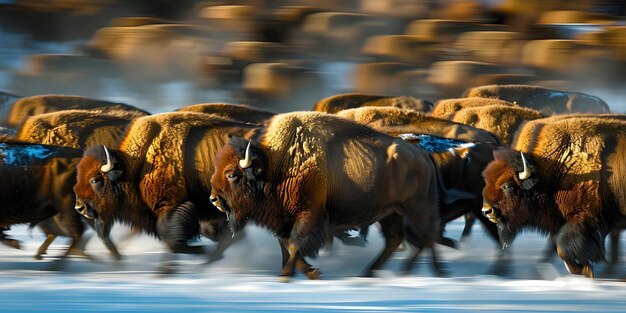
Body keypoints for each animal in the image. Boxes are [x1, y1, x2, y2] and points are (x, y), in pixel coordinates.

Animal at [72, 111, 258, 270]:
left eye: (95, 180)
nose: (79, 207)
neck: (137, 164)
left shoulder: (169, 205)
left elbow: (169, 237)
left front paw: (174, 266)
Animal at [210, 112, 444, 280]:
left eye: (231, 174)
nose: (213, 199)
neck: (276, 165)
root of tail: (422, 155)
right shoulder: (284, 220)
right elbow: (287, 244)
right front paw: (302, 271)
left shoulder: (308, 214)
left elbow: (294, 244)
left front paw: (292, 275)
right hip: (391, 212)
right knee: (397, 239)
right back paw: (371, 273)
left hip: (417, 207)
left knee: (427, 235)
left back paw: (433, 271)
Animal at [480, 116, 626, 276]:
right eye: (487, 180)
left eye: (508, 186)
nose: (486, 211)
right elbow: (559, 247)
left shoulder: (584, 218)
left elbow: (562, 246)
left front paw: (585, 270)